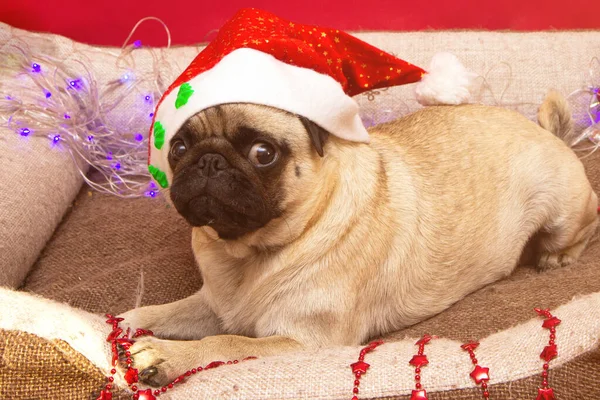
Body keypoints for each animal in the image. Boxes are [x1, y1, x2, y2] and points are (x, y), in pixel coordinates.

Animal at [119, 91, 596, 388]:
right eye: (179, 148)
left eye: (263, 153)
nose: (209, 161)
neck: (249, 254)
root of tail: (546, 132)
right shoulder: (214, 303)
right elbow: (165, 312)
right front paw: (124, 322)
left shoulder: (304, 342)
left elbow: (225, 343)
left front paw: (166, 357)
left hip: (562, 211)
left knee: (588, 224)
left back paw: (557, 257)